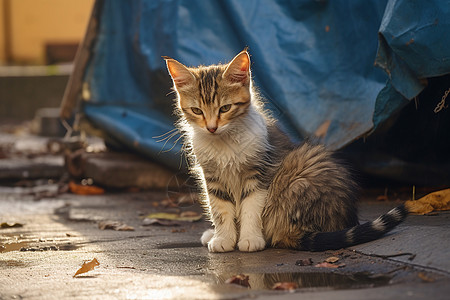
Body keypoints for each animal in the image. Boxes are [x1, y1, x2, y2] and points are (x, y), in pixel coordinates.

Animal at [164, 50, 408, 252]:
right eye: (197, 110)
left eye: (225, 108)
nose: (212, 127)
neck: (225, 143)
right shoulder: (212, 177)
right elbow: (220, 210)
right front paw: (223, 238)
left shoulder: (261, 171)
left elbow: (251, 208)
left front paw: (250, 239)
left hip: (299, 175)